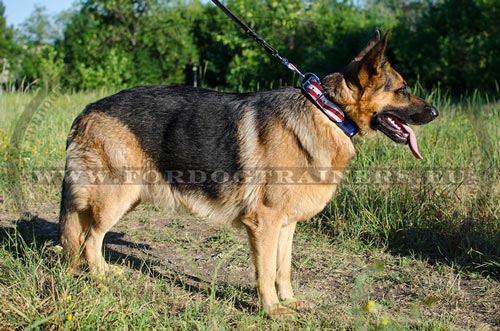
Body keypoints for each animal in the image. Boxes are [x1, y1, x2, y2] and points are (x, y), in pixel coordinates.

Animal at [59, 31, 438, 320]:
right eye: (403, 89)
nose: (435, 112)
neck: (329, 111)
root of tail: (87, 110)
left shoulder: (285, 225)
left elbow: (283, 268)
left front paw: (288, 300)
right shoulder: (264, 223)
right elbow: (266, 271)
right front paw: (272, 310)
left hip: (128, 197)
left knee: (85, 237)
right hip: (116, 196)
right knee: (91, 240)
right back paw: (101, 278)